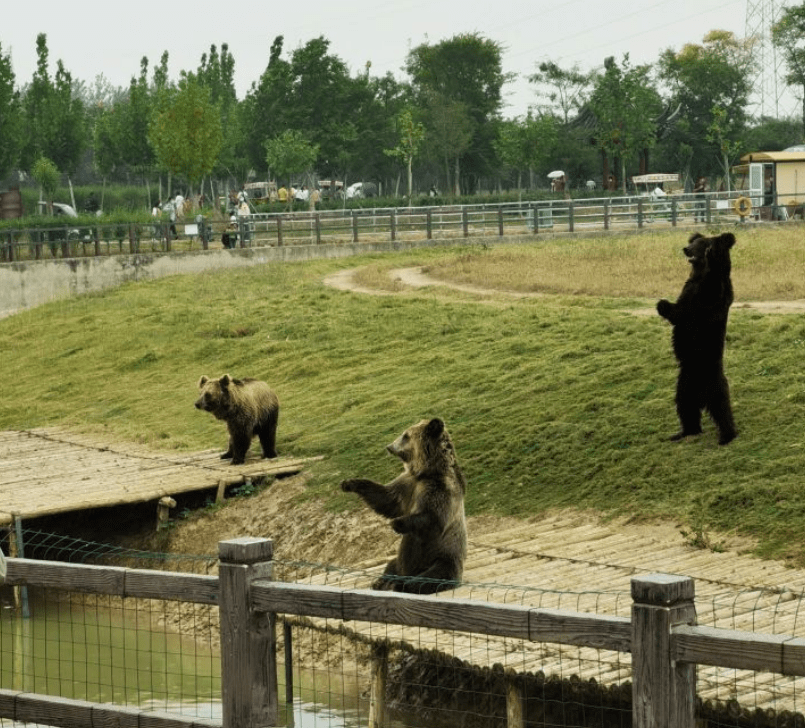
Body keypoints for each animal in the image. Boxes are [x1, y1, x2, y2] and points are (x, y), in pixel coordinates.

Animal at [340, 418, 468, 596]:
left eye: (405, 435)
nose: (389, 446)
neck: (426, 471)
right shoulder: (408, 483)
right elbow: (387, 499)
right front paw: (349, 483)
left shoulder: (441, 489)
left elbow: (433, 519)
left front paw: (397, 523)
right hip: (403, 562)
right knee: (392, 564)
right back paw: (381, 581)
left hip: (443, 557)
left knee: (431, 577)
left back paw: (398, 584)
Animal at [656, 232, 740, 444]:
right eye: (692, 242)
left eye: (700, 244)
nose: (686, 249)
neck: (698, 275)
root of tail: (701, 396)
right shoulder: (689, 291)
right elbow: (677, 312)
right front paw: (662, 304)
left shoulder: (708, 297)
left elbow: (688, 309)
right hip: (684, 386)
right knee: (685, 408)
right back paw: (683, 432)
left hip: (712, 381)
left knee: (721, 408)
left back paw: (726, 436)